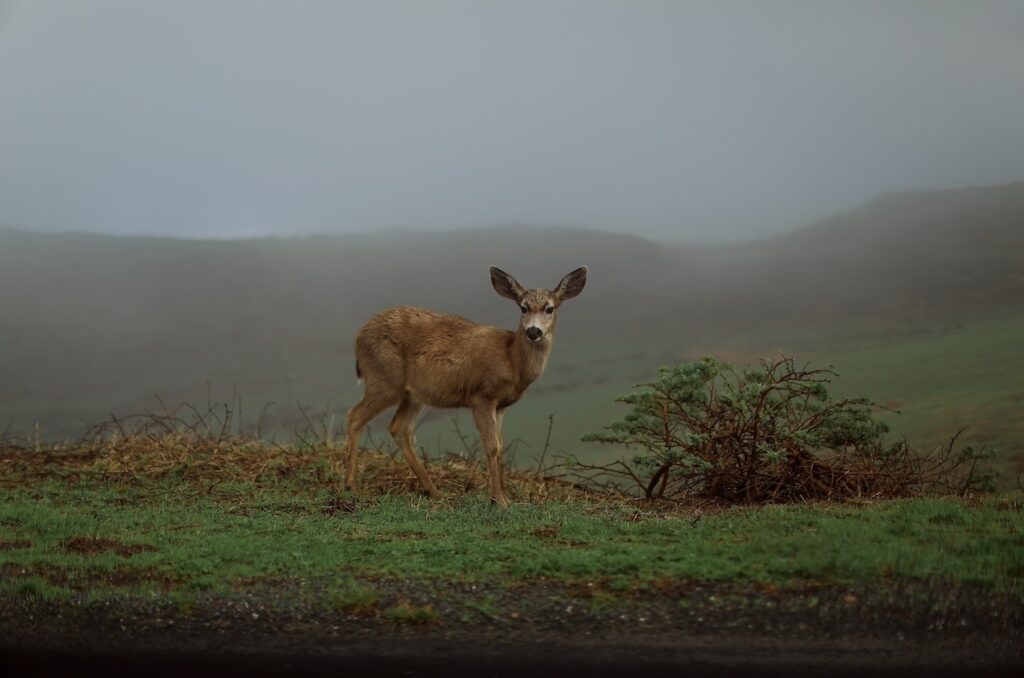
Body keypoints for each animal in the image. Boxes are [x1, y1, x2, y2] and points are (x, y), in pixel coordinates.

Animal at [342, 268, 589, 507]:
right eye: (523, 307)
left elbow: (501, 446)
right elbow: (491, 446)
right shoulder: (481, 396)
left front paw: (505, 497)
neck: (511, 360)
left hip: (413, 394)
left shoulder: (501, 405)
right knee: (354, 416)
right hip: (384, 379)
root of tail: (358, 337)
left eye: (549, 308)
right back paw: (351, 485)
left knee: (398, 428)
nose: (533, 332)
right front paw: (498, 500)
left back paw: (433, 491)